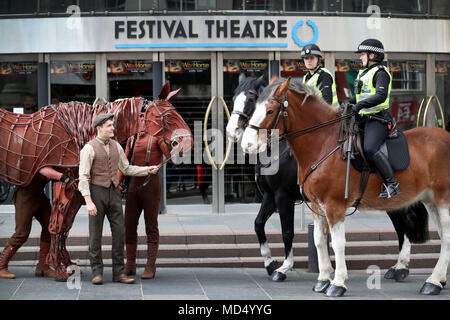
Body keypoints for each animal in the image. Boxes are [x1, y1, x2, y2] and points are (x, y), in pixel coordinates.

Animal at [243, 78, 450, 298]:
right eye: (254, 106)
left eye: (270, 111)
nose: (247, 144)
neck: (322, 144)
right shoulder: (315, 206)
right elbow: (318, 240)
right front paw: (323, 279)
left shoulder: (331, 205)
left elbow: (336, 242)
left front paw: (337, 282)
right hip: (428, 201)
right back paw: (433, 277)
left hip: (442, 199)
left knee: (444, 237)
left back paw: (432, 281)